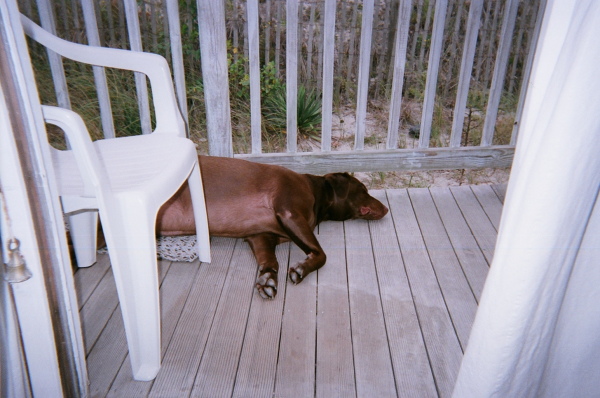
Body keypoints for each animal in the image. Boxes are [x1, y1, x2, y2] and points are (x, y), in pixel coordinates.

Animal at [156, 155, 390, 298]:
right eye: (363, 189)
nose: (387, 208)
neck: (316, 192)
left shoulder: (261, 236)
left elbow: (270, 260)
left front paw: (268, 279)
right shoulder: (290, 213)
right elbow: (321, 254)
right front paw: (301, 269)